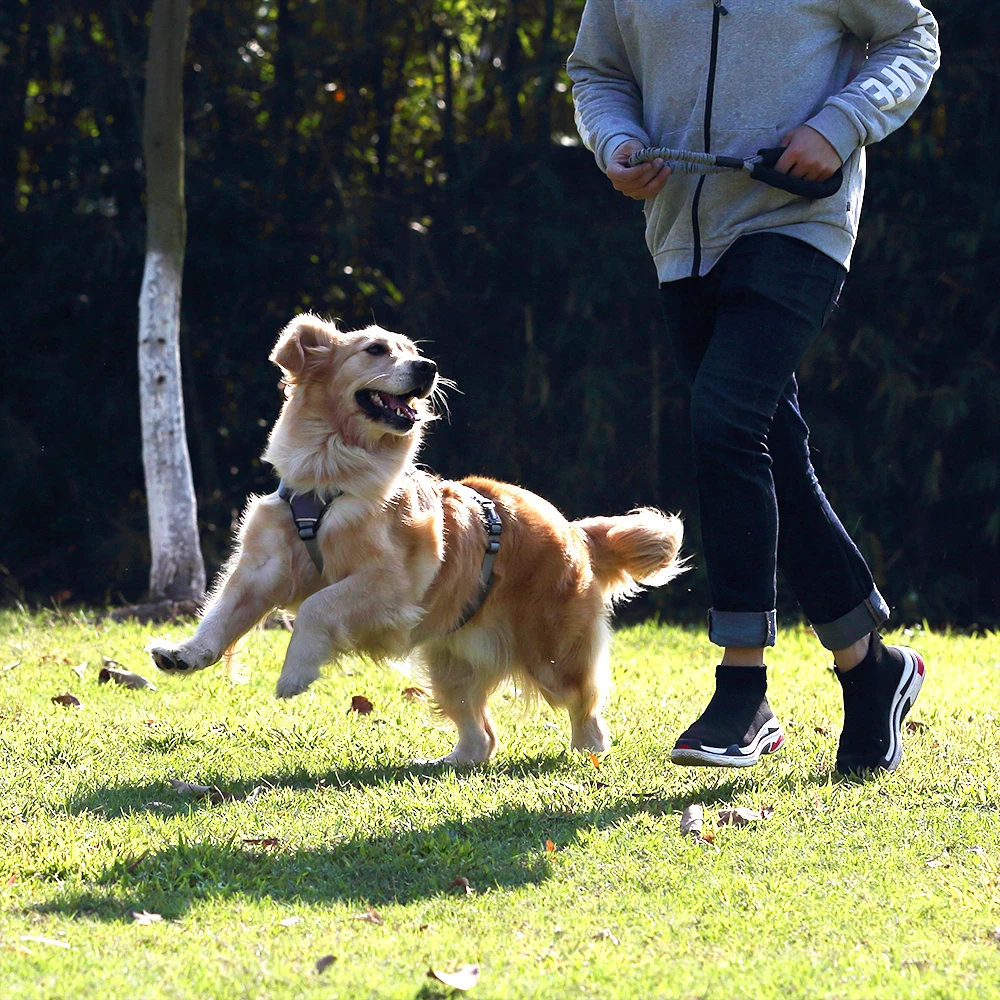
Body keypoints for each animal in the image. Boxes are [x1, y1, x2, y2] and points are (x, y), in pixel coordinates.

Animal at [148, 316, 684, 760]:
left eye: (412, 351)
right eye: (376, 350)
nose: (429, 367)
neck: (328, 477)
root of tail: (571, 529)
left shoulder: (390, 585)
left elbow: (318, 606)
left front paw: (295, 673)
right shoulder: (264, 567)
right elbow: (221, 617)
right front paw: (183, 655)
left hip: (551, 652)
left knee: (583, 701)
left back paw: (589, 751)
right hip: (449, 662)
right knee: (482, 735)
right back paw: (446, 762)